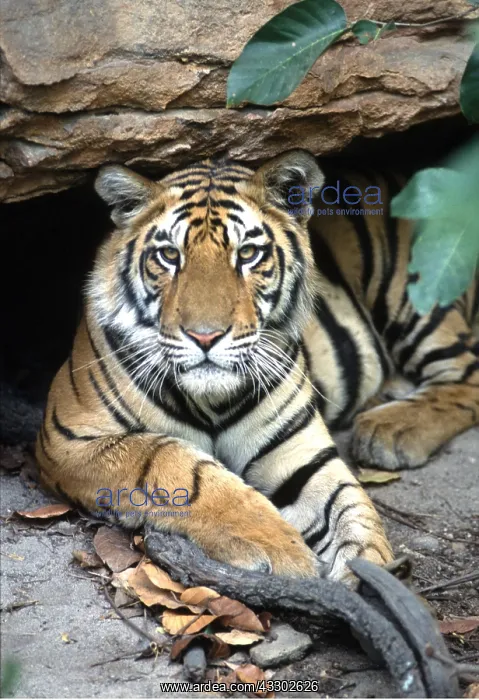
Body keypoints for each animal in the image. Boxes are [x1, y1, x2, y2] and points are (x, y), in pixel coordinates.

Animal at [35, 150, 479, 583]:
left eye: (248, 254)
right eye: (169, 255)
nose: (205, 337)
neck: (210, 401)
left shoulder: (302, 451)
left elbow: (352, 508)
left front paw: (370, 573)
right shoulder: (67, 439)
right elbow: (176, 465)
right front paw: (280, 546)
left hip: (421, 291)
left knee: (468, 372)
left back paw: (389, 429)